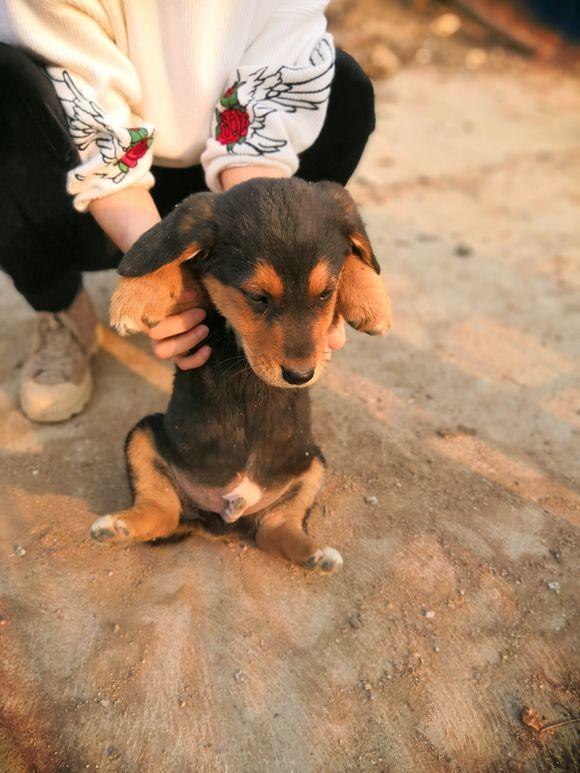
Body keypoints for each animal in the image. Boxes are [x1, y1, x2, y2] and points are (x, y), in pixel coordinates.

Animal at [90, 178, 390, 568]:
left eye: (326, 293)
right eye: (257, 297)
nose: (300, 376)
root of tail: (225, 517)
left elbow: (354, 259)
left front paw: (373, 301)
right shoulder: (201, 303)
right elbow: (173, 256)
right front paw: (136, 296)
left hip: (312, 464)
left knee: (274, 527)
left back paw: (315, 554)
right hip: (144, 434)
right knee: (162, 511)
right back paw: (118, 527)